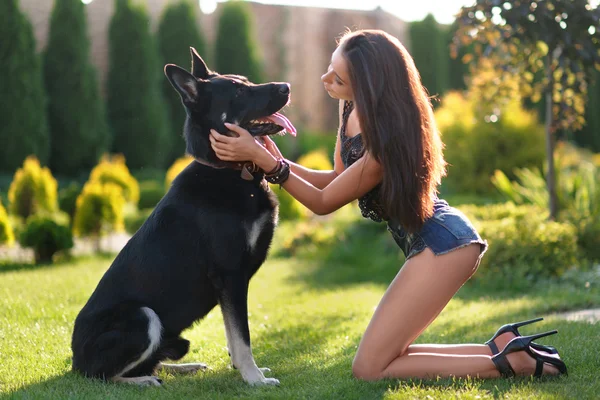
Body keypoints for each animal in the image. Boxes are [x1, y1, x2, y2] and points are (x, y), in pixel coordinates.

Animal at [71, 48, 296, 386]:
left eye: (247, 81)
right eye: (238, 92)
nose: (287, 87)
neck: (229, 171)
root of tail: (74, 359)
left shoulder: (230, 282)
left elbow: (233, 336)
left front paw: (242, 371)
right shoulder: (230, 274)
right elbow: (242, 336)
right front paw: (254, 378)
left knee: (149, 362)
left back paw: (182, 368)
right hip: (142, 316)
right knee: (101, 376)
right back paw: (143, 382)